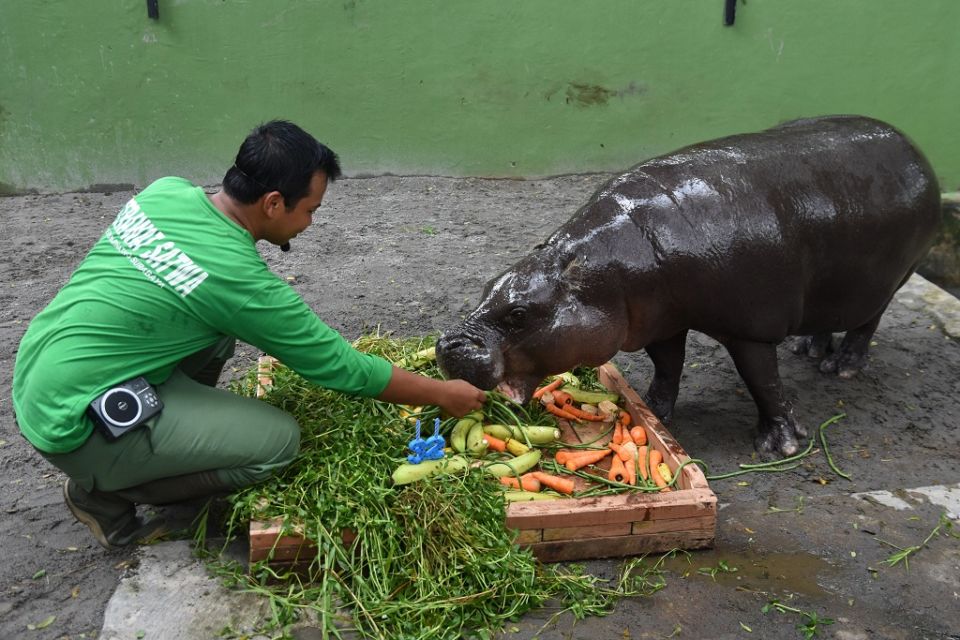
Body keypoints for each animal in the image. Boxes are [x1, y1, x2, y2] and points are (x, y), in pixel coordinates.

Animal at [438, 115, 940, 456]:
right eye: (488, 285)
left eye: (519, 312)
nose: (447, 345)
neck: (610, 271)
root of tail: (912, 147)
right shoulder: (660, 318)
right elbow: (667, 366)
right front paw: (652, 411)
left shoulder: (751, 329)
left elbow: (764, 382)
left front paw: (779, 446)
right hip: (837, 290)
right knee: (830, 319)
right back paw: (810, 351)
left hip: (891, 281)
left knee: (866, 324)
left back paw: (842, 368)